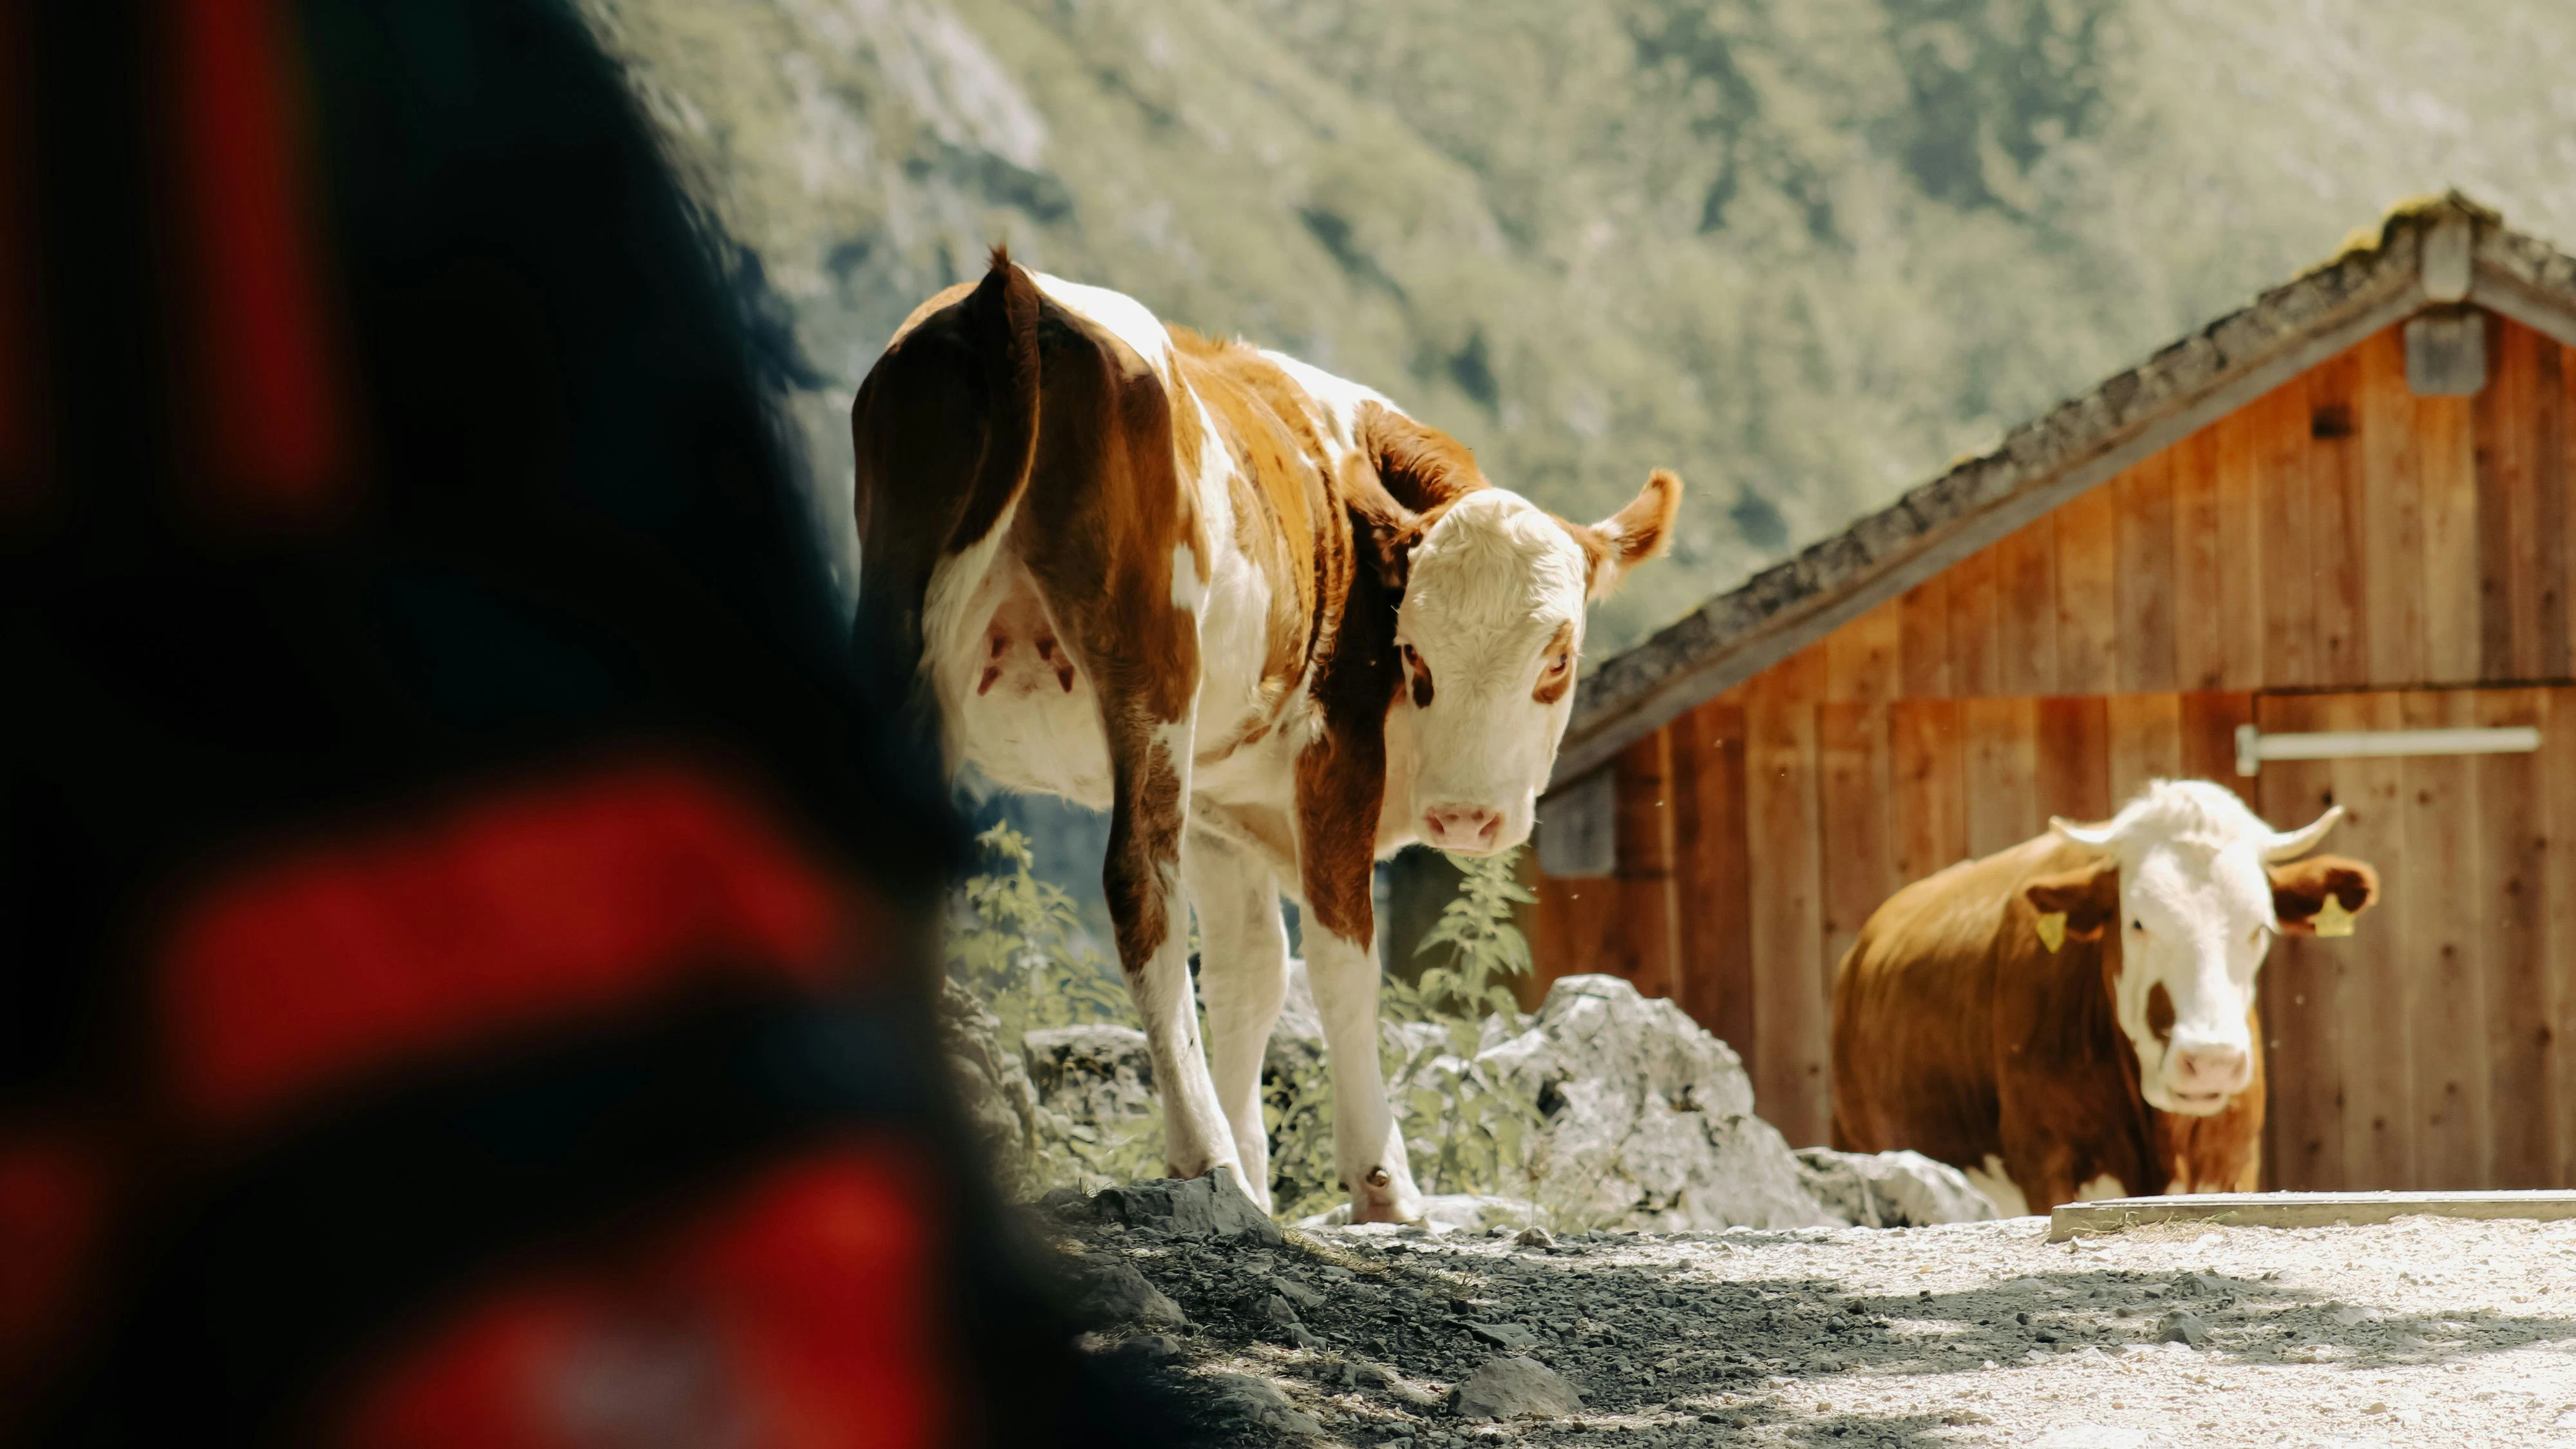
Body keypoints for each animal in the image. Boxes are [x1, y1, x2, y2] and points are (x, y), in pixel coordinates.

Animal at [850, 253, 1682, 1222]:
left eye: (1558, 656)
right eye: (1410, 651)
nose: (1465, 820)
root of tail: (1011, 294)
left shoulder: (1222, 804)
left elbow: (1248, 975)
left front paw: (1254, 1177)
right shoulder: (1337, 755)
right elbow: (1341, 961)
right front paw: (1379, 1181)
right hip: (1149, 669)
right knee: (1141, 885)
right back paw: (1199, 1149)